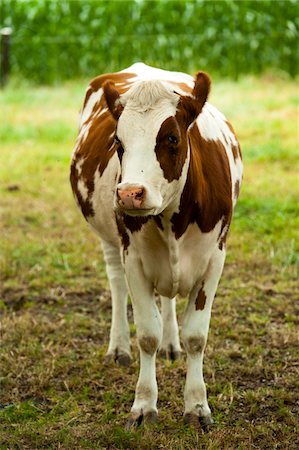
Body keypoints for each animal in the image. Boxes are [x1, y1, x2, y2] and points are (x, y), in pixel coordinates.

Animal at [70, 61, 244, 428]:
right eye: (118, 141)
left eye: (171, 137)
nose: (129, 194)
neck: (173, 218)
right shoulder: (134, 259)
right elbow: (147, 334)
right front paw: (144, 405)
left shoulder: (214, 260)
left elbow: (197, 336)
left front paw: (197, 406)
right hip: (109, 240)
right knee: (117, 285)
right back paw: (119, 347)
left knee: (168, 299)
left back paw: (171, 345)